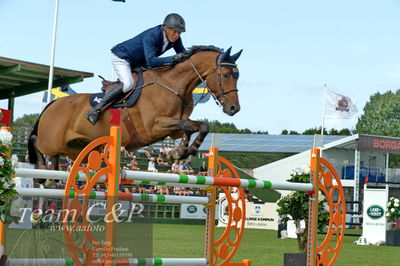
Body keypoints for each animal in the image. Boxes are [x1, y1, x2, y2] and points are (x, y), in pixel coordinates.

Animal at [28, 44, 242, 167]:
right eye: (225, 75)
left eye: (237, 76)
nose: (234, 109)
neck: (173, 85)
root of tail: (53, 103)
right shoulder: (153, 127)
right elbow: (188, 126)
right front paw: (179, 152)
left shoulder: (173, 128)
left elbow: (201, 126)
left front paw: (184, 151)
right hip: (51, 141)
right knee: (37, 142)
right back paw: (43, 173)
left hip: (76, 147)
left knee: (57, 155)